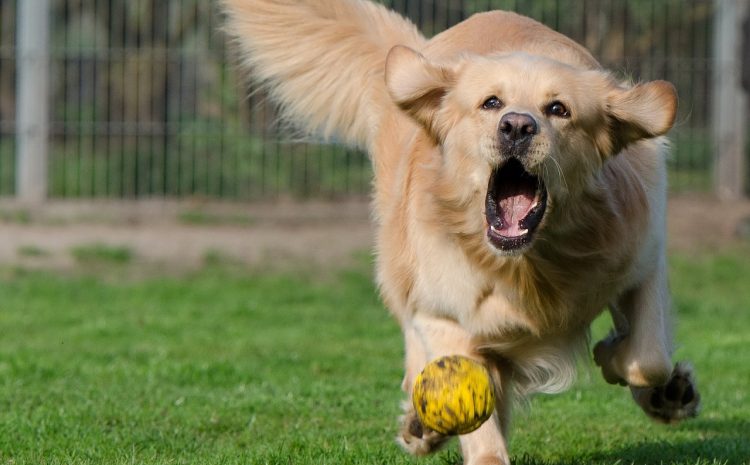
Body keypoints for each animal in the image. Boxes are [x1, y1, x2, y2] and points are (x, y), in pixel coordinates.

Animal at [220, 1, 704, 462]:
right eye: (491, 103)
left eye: (558, 109)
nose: (517, 126)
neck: (527, 266)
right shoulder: (445, 314)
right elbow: (474, 405)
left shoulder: (643, 259)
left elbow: (649, 357)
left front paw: (626, 366)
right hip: (400, 268)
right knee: (416, 347)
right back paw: (422, 425)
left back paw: (668, 396)